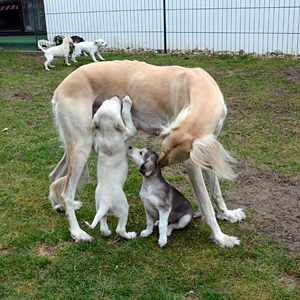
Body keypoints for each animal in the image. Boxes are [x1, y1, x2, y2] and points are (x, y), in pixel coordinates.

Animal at [85, 95, 138, 240]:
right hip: (124, 208)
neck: (108, 134)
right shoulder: (129, 131)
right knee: (120, 229)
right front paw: (127, 102)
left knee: (102, 226)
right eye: (117, 106)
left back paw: (107, 232)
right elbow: (127, 116)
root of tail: (105, 202)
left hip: (99, 207)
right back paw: (130, 235)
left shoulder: (97, 145)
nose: (117, 96)